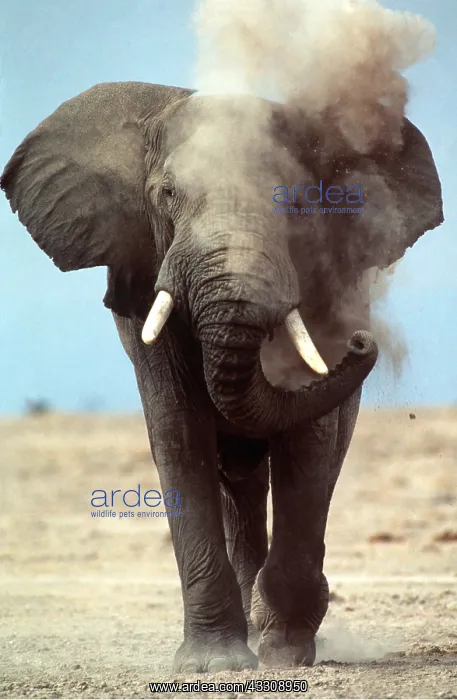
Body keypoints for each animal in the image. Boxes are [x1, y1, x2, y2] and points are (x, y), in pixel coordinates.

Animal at [1, 81, 443, 672]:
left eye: (296, 201)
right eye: (166, 194)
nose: (360, 340)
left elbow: (308, 443)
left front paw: (285, 653)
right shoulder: (144, 278)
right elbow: (178, 434)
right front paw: (215, 664)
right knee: (239, 488)